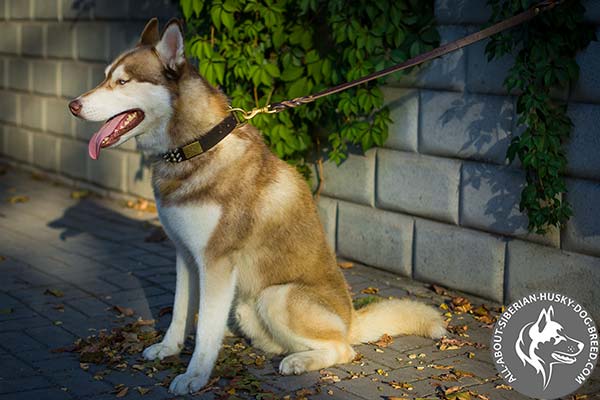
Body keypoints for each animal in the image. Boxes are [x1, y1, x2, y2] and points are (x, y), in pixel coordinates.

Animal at [68, 18, 448, 394]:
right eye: (106, 76)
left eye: (122, 82)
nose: (73, 105)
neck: (196, 147)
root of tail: (352, 318)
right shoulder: (185, 254)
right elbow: (180, 311)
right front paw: (169, 347)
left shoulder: (216, 262)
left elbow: (205, 328)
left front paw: (195, 375)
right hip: (246, 306)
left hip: (276, 296)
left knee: (344, 349)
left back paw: (300, 361)